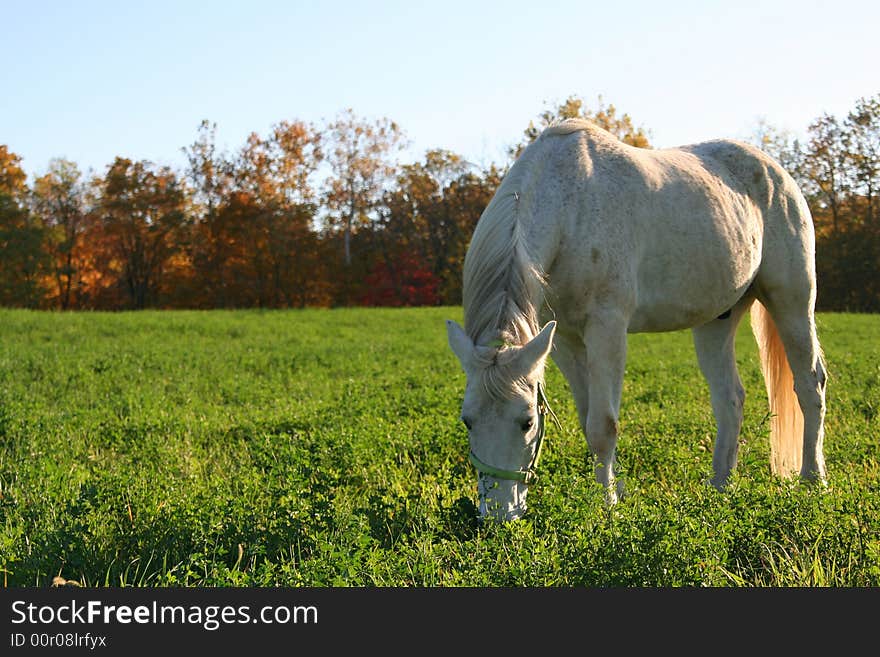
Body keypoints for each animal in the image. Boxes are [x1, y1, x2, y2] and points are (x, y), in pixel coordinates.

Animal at [450, 116, 828, 516]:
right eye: (467, 421)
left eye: (527, 421)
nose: (498, 515)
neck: (568, 209)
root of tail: (778, 172)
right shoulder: (565, 339)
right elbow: (587, 418)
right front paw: (610, 494)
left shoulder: (607, 328)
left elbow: (603, 426)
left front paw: (608, 507)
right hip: (715, 321)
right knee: (730, 399)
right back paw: (720, 487)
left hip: (792, 301)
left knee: (809, 385)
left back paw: (813, 480)